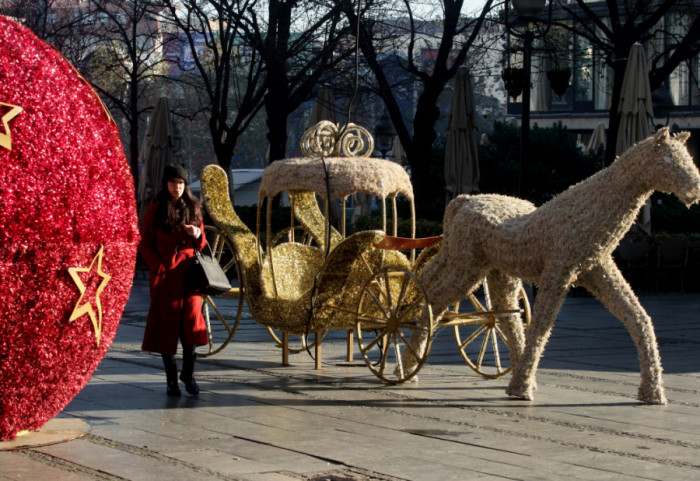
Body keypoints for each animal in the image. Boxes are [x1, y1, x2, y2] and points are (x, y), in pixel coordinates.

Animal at [422, 127, 700, 402]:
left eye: (688, 156)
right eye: (669, 159)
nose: (695, 188)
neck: (587, 214)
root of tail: (464, 200)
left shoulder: (598, 271)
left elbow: (639, 318)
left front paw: (653, 392)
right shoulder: (558, 272)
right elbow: (542, 326)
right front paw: (522, 388)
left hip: (495, 270)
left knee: (502, 315)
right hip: (467, 265)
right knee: (435, 300)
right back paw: (414, 364)